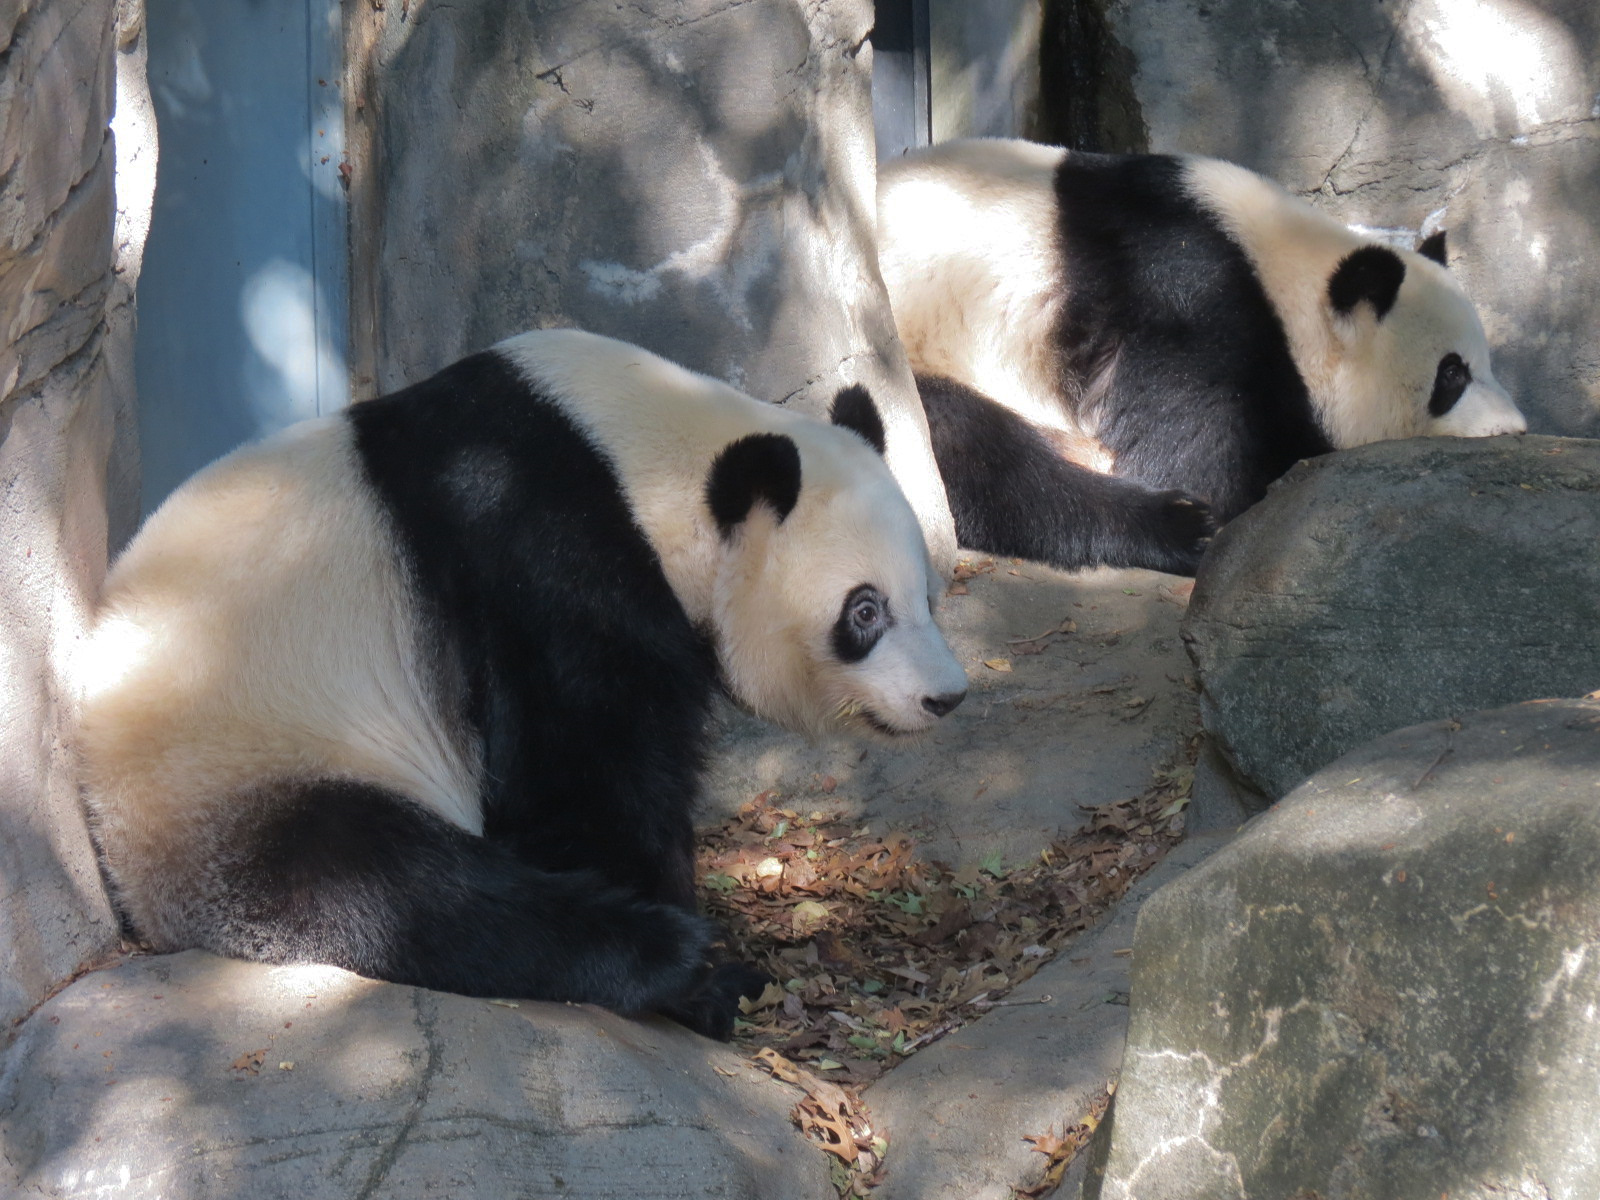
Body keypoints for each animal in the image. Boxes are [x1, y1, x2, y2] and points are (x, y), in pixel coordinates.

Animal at [77, 329, 968, 1040]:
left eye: (926, 595)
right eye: (864, 612)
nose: (946, 697)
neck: (641, 460)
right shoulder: (535, 544)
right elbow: (580, 773)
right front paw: (702, 971)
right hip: (250, 762)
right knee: (396, 887)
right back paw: (663, 957)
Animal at [876, 138, 1528, 576]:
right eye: (1452, 374)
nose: (1515, 430)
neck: (1285, 275)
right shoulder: (1186, 305)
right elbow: (1201, 458)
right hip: (917, 339)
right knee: (971, 453)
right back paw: (1177, 526)